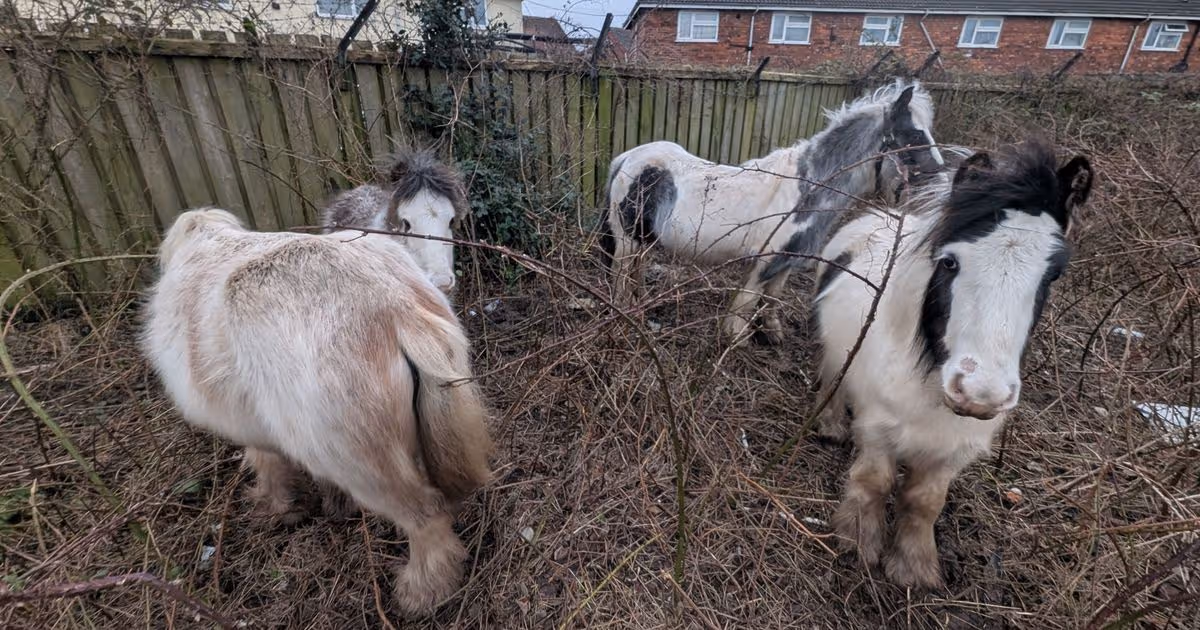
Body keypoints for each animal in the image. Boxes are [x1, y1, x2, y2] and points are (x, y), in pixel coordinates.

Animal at [142, 208, 492, 614]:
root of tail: (395, 307)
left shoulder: (251, 426)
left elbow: (267, 464)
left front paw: (273, 507)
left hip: (361, 460)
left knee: (425, 518)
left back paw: (422, 591)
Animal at [600, 78, 945, 346]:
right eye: (915, 135)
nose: (941, 182)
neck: (808, 189)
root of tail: (629, 158)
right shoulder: (764, 262)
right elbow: (746, 303)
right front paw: (735, 339)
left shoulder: (786, 262)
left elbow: (772, 298)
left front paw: (771, 333)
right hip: (627, 240)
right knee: (620, 276)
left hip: (644, 239)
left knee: (636, 272)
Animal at [812, 140, 1094, 589]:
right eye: (949, 262)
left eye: (1053, 275)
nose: (981, 394)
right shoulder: (877, 426)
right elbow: (874, 481)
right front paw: (858, 541)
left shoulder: (955, 448)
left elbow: (925, 501)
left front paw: (913, 567)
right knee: (831, 374)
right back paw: (830, 423)